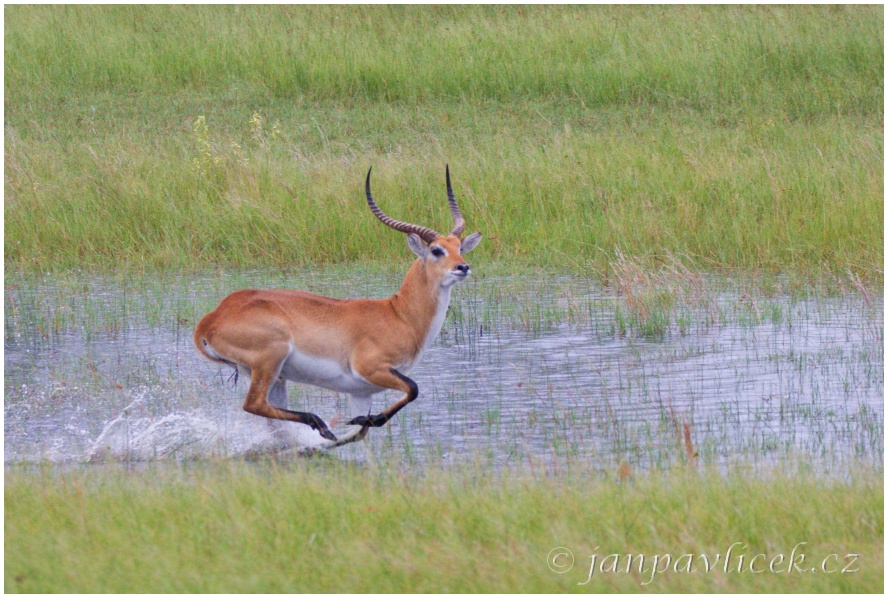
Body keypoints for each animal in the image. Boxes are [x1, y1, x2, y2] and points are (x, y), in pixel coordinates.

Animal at [196, 166, 486, 448]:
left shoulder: (360, 392)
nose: (463, 267)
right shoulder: (372, 368)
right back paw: (319, 423)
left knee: (274, 423)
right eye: (436, 250)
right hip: (270, 361)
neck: (399, 315)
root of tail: (212, 318)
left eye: (459, 247)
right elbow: (412, 389)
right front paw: (363, 421)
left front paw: (358, 422)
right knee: (253, 404)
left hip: (275, 377)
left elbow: (359, 432)